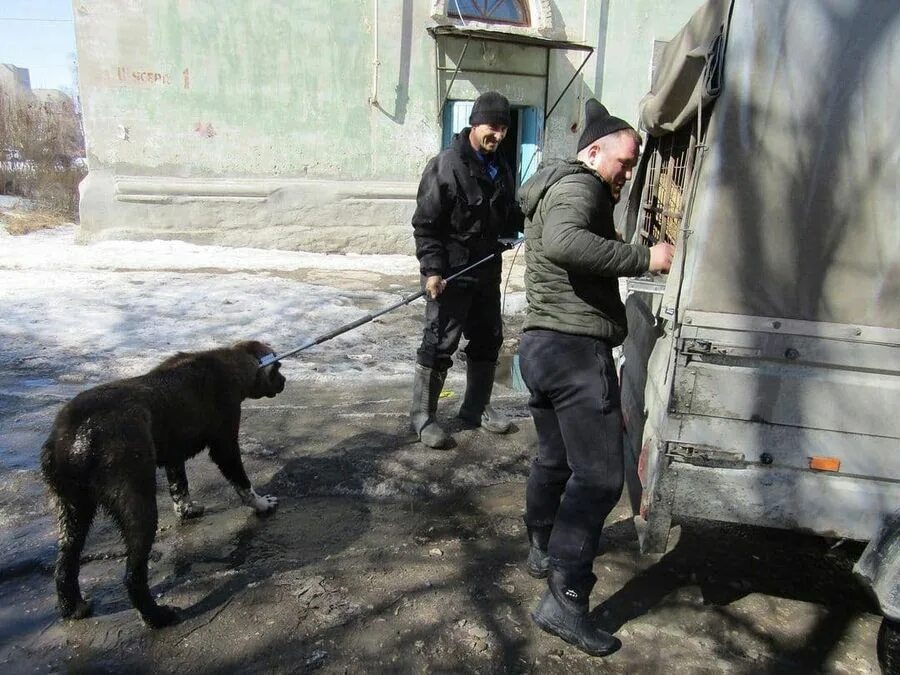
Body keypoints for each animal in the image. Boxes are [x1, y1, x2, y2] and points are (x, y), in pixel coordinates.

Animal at [37, 340, 284, 632]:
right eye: (278, 368)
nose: (284, 381)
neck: (230, 363)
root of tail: (74, 438)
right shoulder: (224, 444)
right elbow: (242, 483)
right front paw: (261, 504)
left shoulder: (175, 456)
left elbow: (179, 485)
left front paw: (186, 510)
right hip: (138, 504)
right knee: (133, 574)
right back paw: (157, 616)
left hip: (73, 509)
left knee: (65, 565)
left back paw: (73, 606)